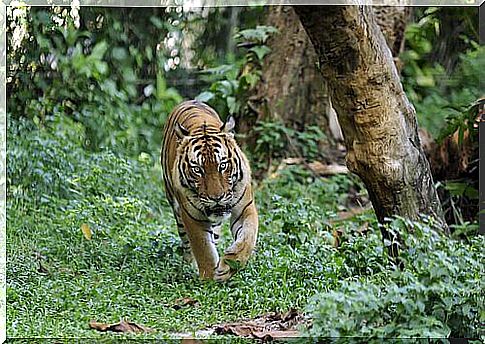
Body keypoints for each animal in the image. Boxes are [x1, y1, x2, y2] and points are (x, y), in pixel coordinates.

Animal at [160, 99, 260, 282]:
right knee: (186, 243)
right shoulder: (192, 216)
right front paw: (209, 279)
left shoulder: (245, 208)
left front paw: (230, 264)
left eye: (223, 165)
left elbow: (248, 236)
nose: (217, 198)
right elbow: (203, 249)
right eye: (197, 170)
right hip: (176, 209)